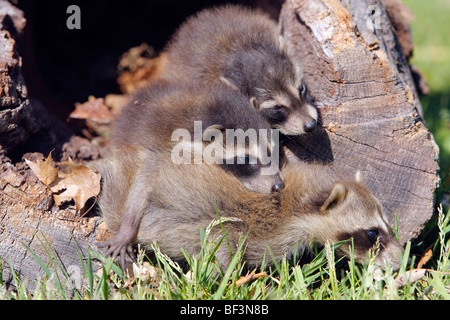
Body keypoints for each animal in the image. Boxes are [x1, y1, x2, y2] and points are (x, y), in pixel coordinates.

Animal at [96, 80, 284, 268]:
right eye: (246, 159)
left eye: (272, 151)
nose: (278, 185)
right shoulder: (160, 150)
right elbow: (141, 187)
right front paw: (126, 230)